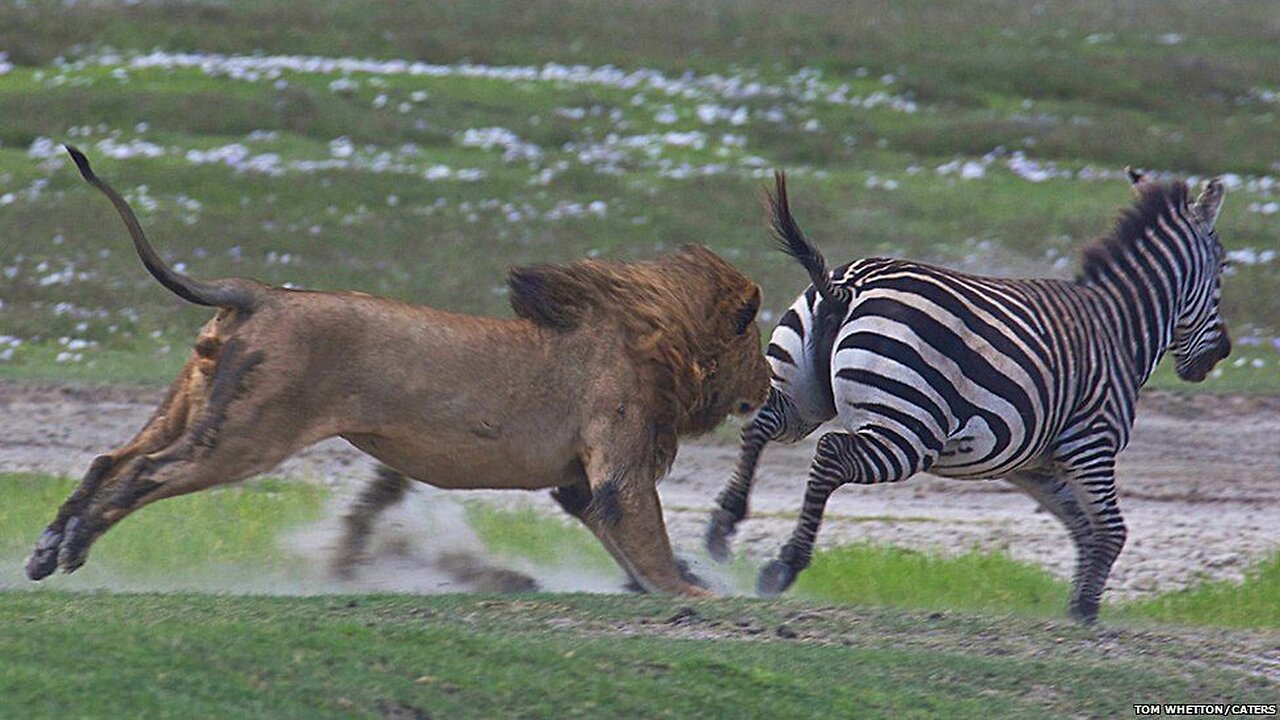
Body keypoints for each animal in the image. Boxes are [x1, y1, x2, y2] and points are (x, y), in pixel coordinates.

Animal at [27, 147, 768, 594]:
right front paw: (692, 593)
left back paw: (45, 547)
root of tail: (258, 292)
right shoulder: (617, 463)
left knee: (108, 459)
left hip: (198, 404)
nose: (766, 386)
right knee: (146, 473)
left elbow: (627, 544)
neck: (658, 341)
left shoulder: (576, 484)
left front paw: (680, 584)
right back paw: (72, 550)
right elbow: (646, 536)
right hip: (244, 434)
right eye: (759, 344)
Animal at [711, 169, 1228, 622]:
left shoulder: (1036, 467)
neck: (1120, 327)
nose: (1222, 353)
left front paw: (1077, 605)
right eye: (1223, 269)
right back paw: (785, 564)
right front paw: (1085, 610)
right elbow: (1111, 531)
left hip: (804, 396)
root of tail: (847, 286)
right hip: (910, 432)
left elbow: (1083, 527)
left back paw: (723, 525)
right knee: (832, 453)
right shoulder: (1091, 445)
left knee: (761, 424)